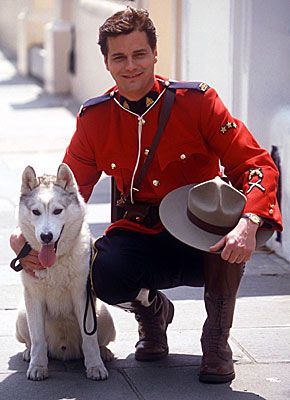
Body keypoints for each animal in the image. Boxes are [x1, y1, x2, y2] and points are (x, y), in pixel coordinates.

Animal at [15, 163, 115, 382]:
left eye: (57, 211)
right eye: (36, 212)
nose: (46, 236)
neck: (55, 262)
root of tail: (65, 351)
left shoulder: (83, 297)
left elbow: (90, 340)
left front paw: (95, 366)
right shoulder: (33, 298)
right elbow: (38, 340)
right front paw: (38, 366)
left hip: (103, 314)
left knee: (99, 341)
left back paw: (104, 353)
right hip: (22, 314)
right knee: (31, 341)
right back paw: (28, 353)